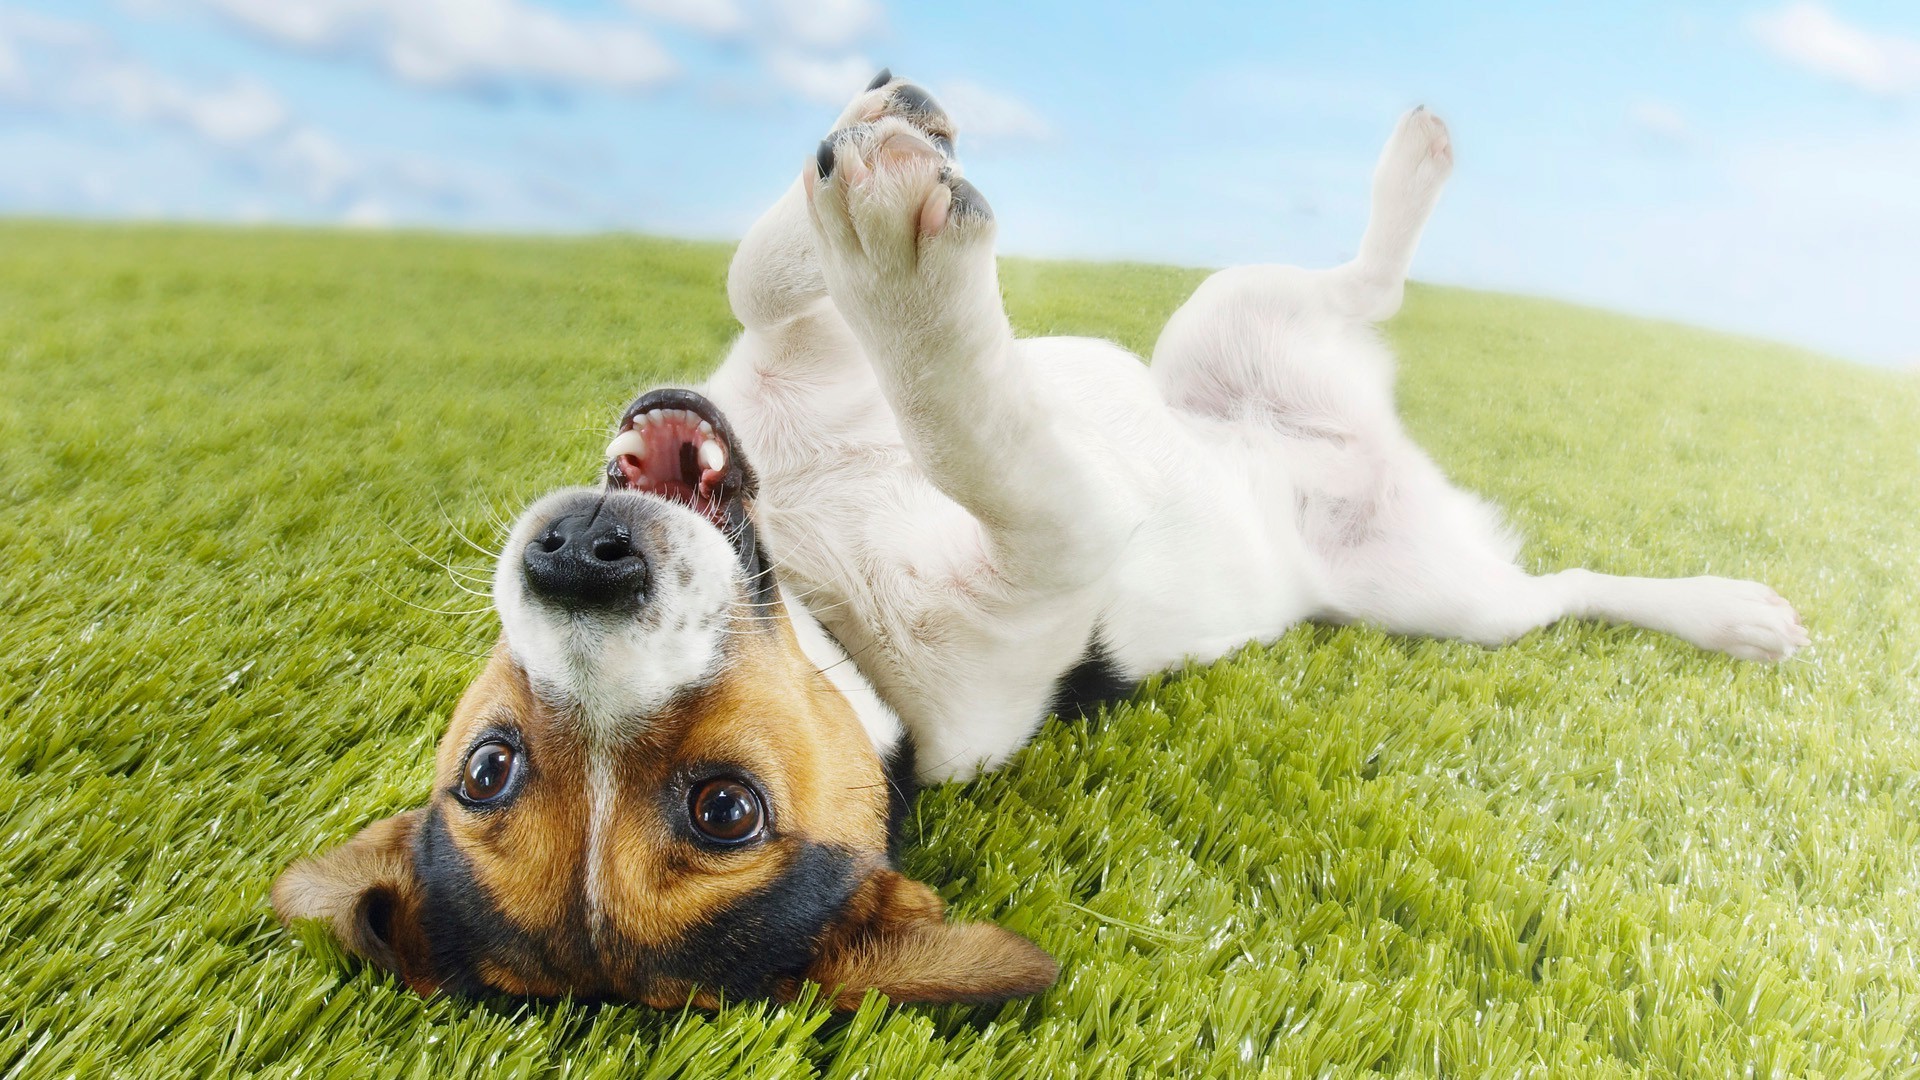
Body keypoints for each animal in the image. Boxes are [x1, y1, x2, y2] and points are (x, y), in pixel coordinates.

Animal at [270, 71, 1797, 1006]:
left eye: (482, 763)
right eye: (725, 811)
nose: (582, 561)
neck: (815, 577)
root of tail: (1356, 468)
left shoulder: (780, 362)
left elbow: (764, 278)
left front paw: (866, 138)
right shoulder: (1055, 531)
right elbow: (960, 413)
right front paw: (895, 243)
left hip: (1220, 330)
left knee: (1355, 291)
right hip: (1444, 598)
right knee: (1551, 579)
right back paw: (1727, 611)